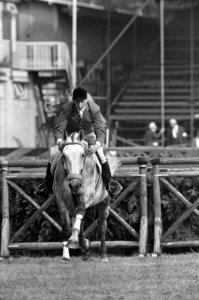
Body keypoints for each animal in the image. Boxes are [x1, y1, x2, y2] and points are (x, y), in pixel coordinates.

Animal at [52, 130, 120, 262]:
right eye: (64, 156)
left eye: (82, 155)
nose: (74, 184)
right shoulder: (61, 200)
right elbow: (67, 228)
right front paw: (67, 254)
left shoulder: (86, 197)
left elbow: (81, 211)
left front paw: (74, 241)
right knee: (80, 222)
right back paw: (84, 249)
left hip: (104, 202)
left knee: (102, 225)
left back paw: (103, 254)